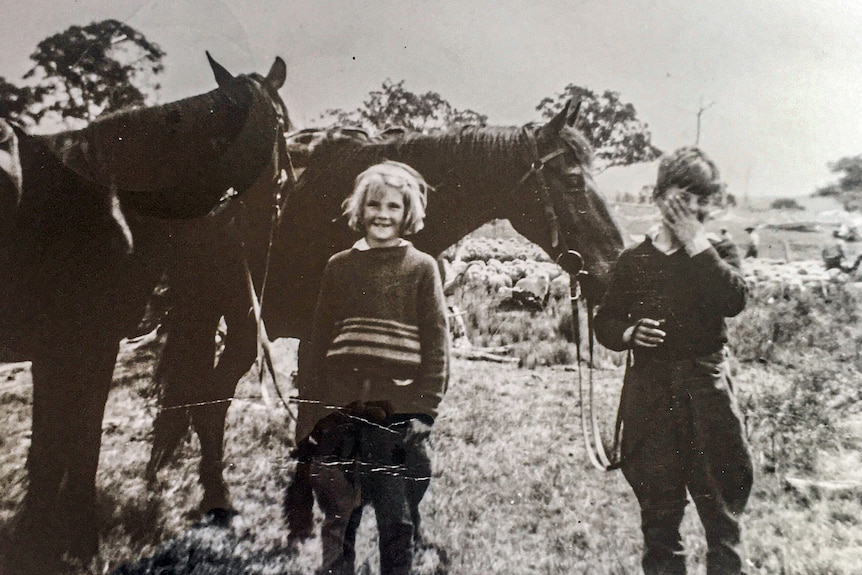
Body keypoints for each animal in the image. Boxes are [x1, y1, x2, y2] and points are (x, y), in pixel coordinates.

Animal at [0, 55, 290, 575]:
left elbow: (52, 447)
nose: (274, 207)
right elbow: (75, 444)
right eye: (285, 125)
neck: (109, 199)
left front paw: (41, 535)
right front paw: (77, 539)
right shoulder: (84, 347)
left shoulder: (59, 353)